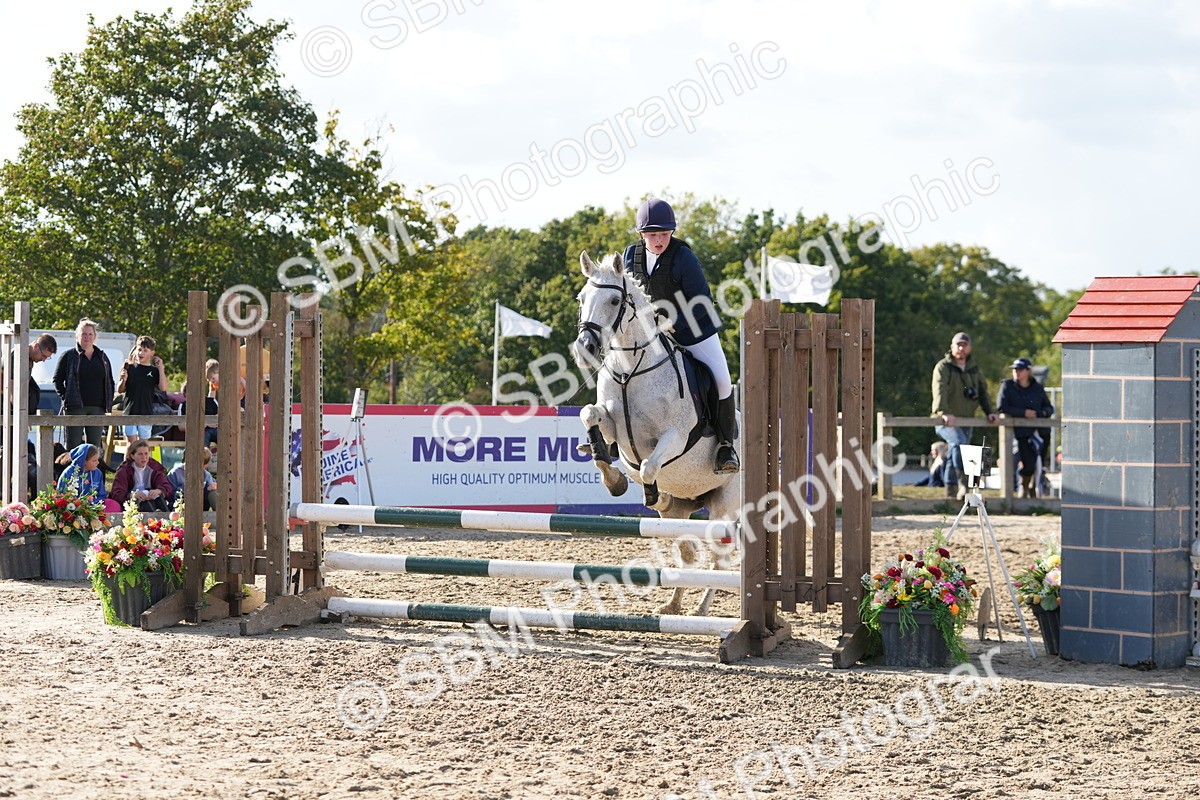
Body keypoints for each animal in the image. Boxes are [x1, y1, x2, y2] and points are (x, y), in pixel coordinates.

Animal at [570, 251, 741, 614]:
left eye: (615, 300)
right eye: (581, 298)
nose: (586, 347)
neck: (631, 371)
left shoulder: (673, 437)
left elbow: (649, 466)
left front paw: (650, 492)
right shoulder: (612, 425)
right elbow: (589, 415)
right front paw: (614, 479)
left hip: (724, 505)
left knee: (718, 558)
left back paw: (700, 609)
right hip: (682, 511)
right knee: (687, 552)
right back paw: (672, 606)